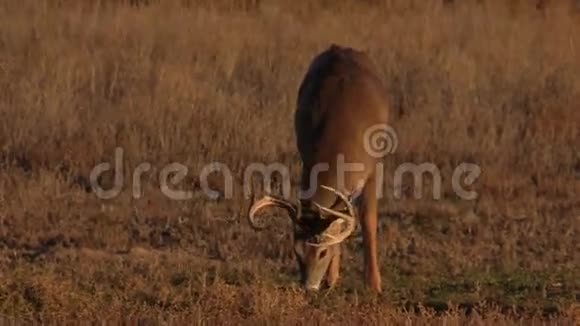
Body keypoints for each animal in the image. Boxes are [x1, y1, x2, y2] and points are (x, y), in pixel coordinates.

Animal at [248, 44, 390, 292]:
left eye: (322, 252)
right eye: (296, 252)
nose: (309, 286)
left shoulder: (374, 168)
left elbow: (368, 220)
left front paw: (373, 284)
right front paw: (331, 279)